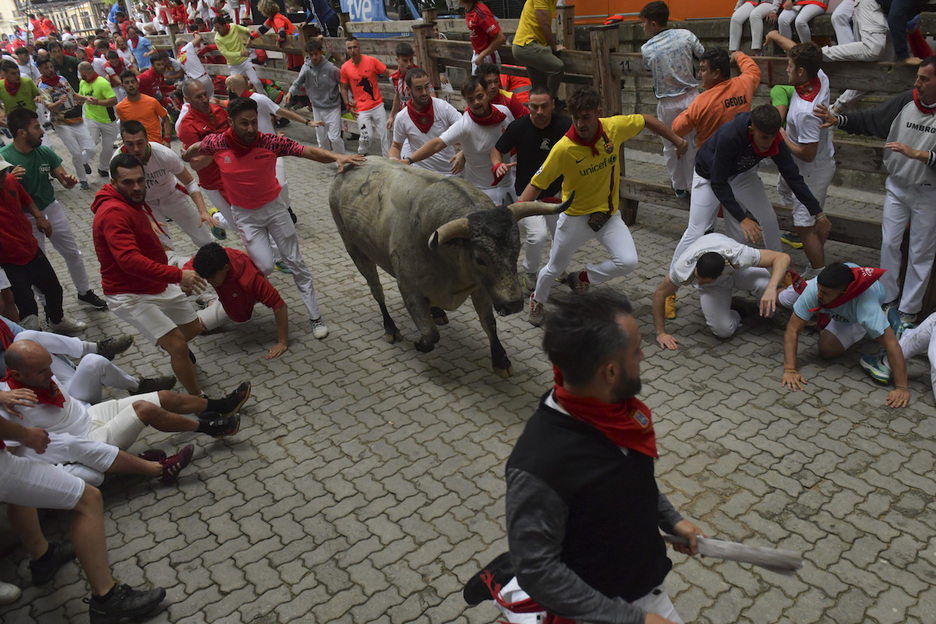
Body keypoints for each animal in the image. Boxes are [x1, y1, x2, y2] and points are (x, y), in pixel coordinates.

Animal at [328, 158, 572, 378]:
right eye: (480, 259)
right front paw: (418, 343)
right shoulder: (408, 289)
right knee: (376, 290)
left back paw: (436, 311)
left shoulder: (480, 287)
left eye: (517, 248)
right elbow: (430, 334)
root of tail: (348, 168)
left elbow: (489, 323)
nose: (513, 304)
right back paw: (391, 328)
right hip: (355, 249)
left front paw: (501, 360)